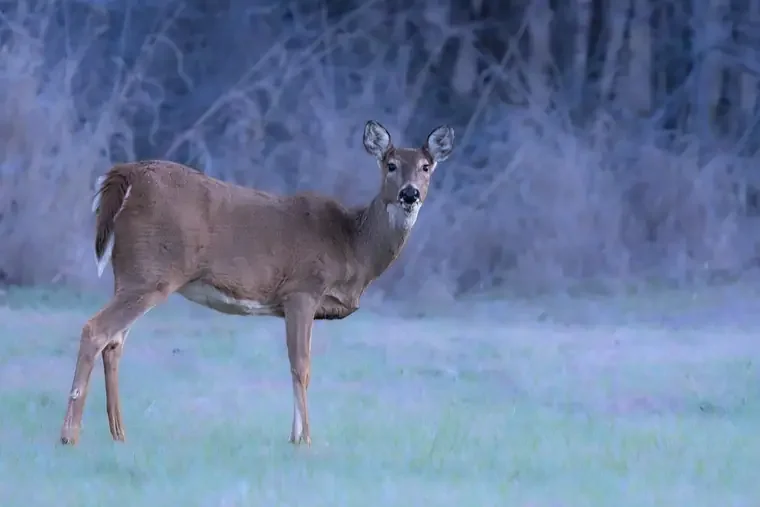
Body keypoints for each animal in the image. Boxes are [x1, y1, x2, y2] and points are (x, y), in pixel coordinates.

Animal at [59, 120, 455, 447]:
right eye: (391, 165)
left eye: (426, 167)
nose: (409, 193)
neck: (351, 245)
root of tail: (127, 175)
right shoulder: (302, 289)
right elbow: (302, 367)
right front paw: (305, 439)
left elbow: (295, 366)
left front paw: (294, 436)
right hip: (151, 272)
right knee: (96, 330)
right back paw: (69, 434)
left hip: (132, 274)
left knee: (114, 342)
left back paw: (119, 434)